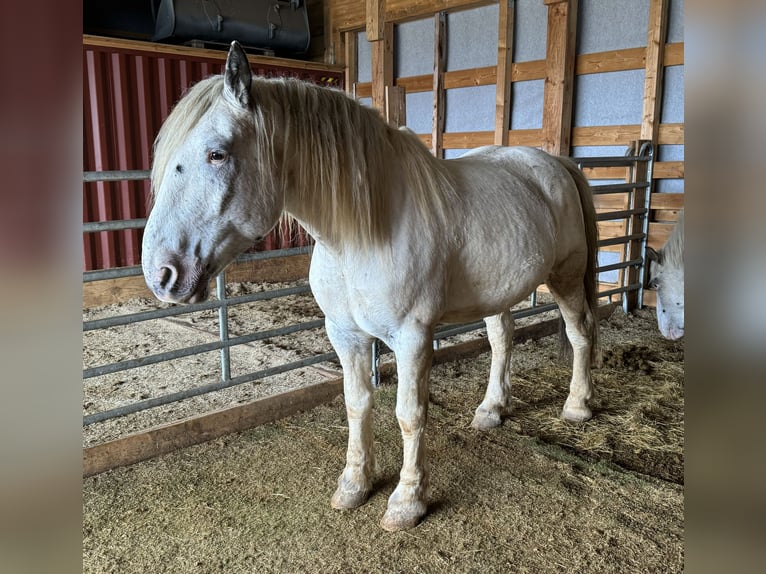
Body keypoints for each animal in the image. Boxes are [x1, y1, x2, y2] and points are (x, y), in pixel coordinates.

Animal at [142, 42, 600, 532]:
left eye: (217, 154)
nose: (162, 274)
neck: (359, 235)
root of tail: (557, 164)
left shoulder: (413, 338)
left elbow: (409, 415)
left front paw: (406, 502)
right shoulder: (345, 335)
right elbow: (356, 404)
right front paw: (354, 485)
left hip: (566, 277)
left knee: (580, 334)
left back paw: (577, 406)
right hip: (499, 293)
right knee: (502, 339)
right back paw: (491, 410)